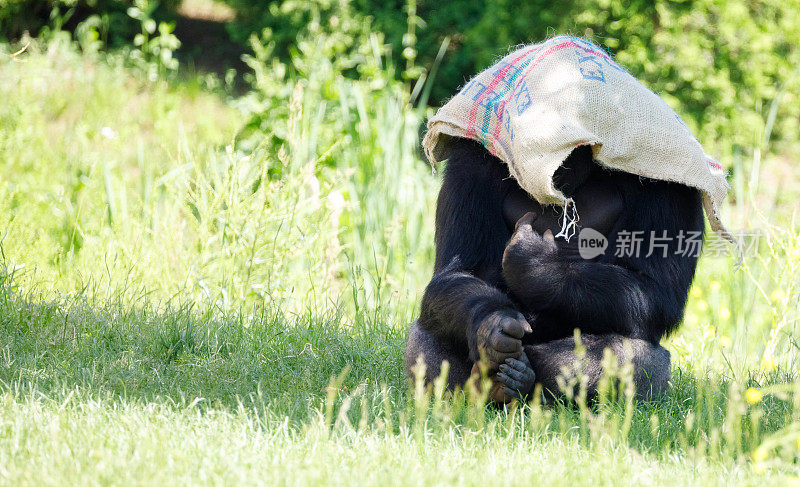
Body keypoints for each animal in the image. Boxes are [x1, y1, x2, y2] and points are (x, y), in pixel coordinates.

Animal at [404, 138, 704, 404]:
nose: (553, 175)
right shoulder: (472, 159)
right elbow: (459, 271)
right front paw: (491, 327)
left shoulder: (667, 180)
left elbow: (656, 291)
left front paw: (534, 264)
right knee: (428, 331)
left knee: (638, 357)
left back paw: (519, 382)